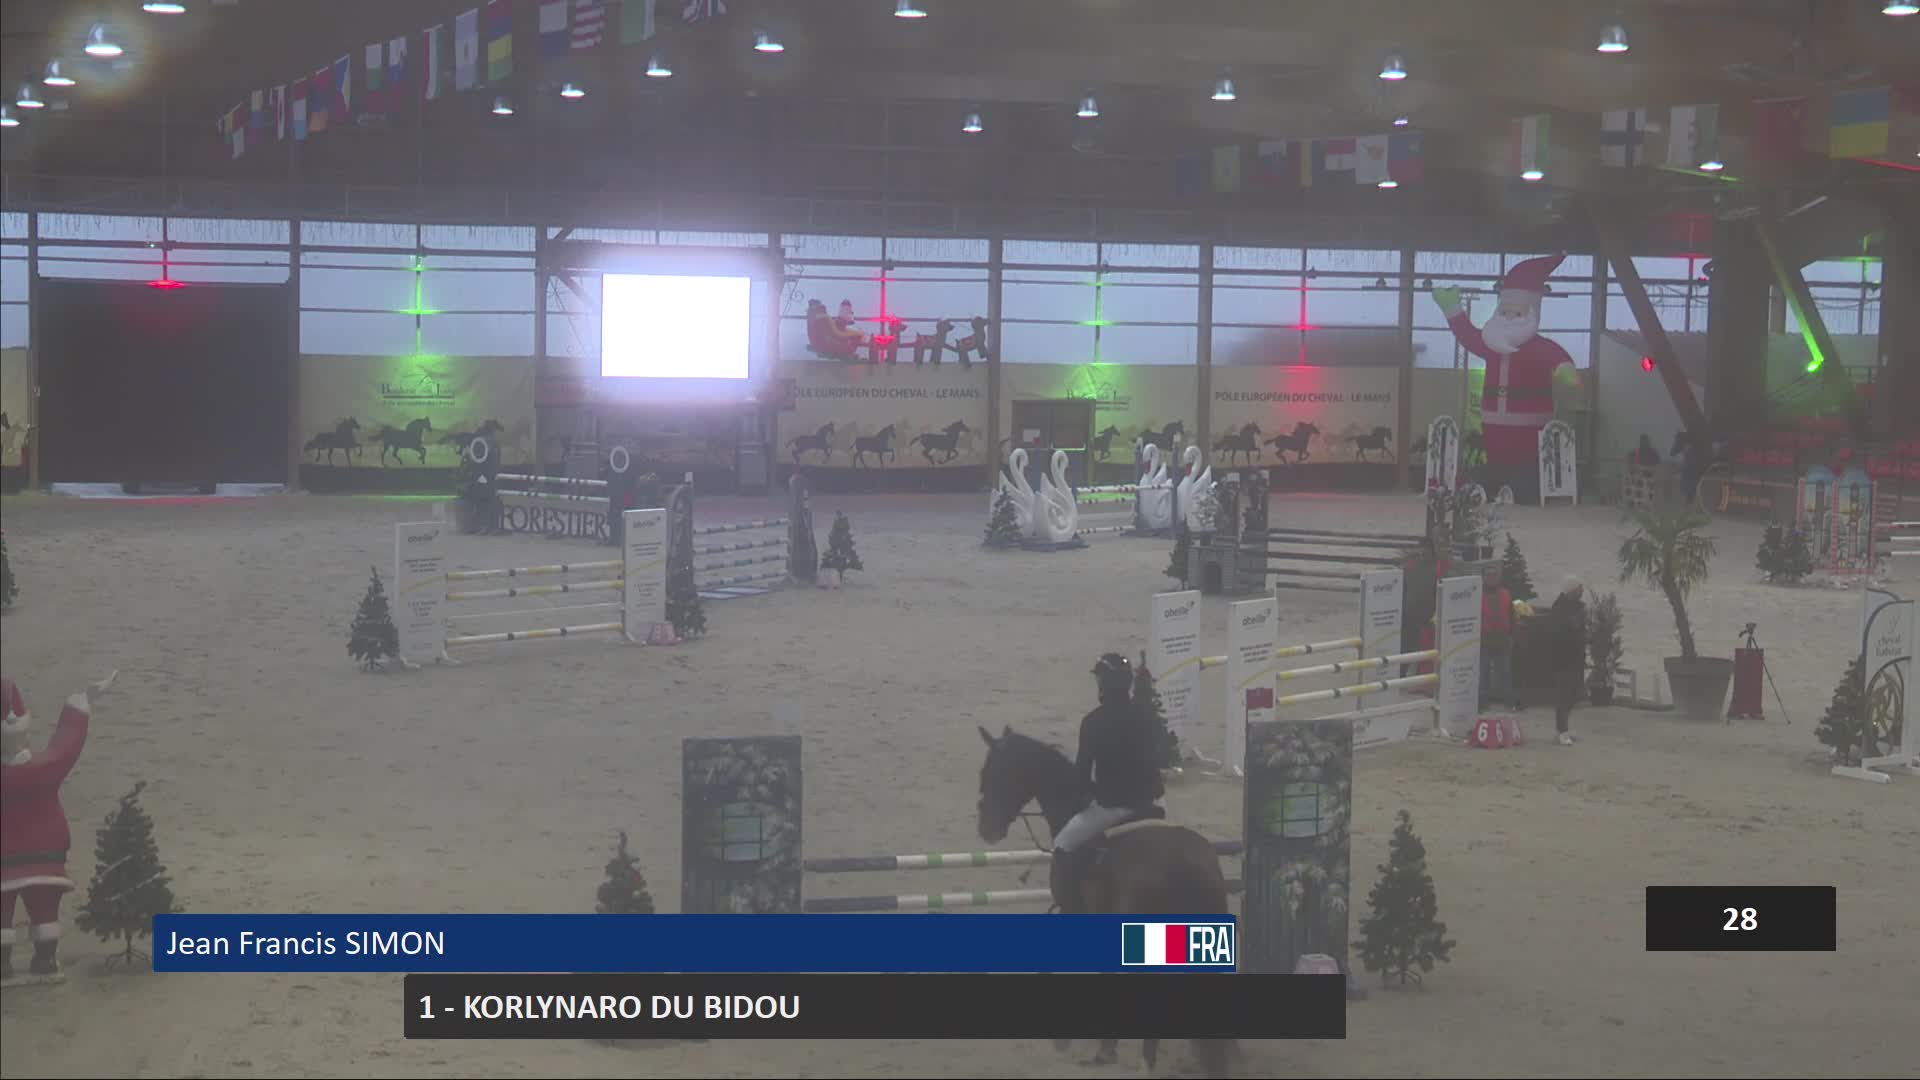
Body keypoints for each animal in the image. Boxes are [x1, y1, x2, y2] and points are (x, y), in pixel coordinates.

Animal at [975, 725, 1233, 1079]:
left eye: (994, 773)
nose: (986, 830)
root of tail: (1188, 862)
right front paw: (1105, 1046)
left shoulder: (1077, 912)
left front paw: (1082, 1044)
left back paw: (1146, 1063)